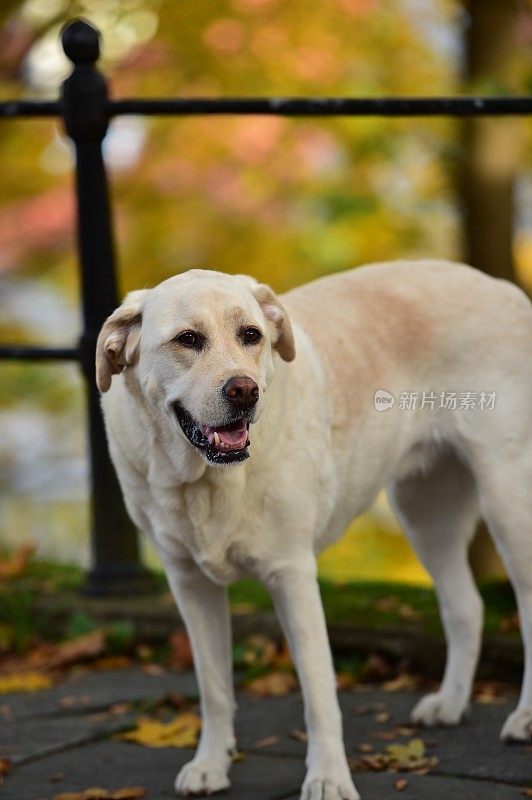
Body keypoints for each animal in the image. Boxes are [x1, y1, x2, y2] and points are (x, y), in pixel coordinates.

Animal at [95, 260, 532, 796]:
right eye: (187, 339)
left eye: (251, 335)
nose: (244, 390)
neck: (205, 481)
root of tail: (501, 286)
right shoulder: (189, 583)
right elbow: (214, 686)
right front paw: (210, 765)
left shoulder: (293, 575)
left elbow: (319, 693)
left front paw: (327, 778)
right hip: (424, 511)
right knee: (465, 606)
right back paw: (449, 704)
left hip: (507, 497)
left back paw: (524, 717)